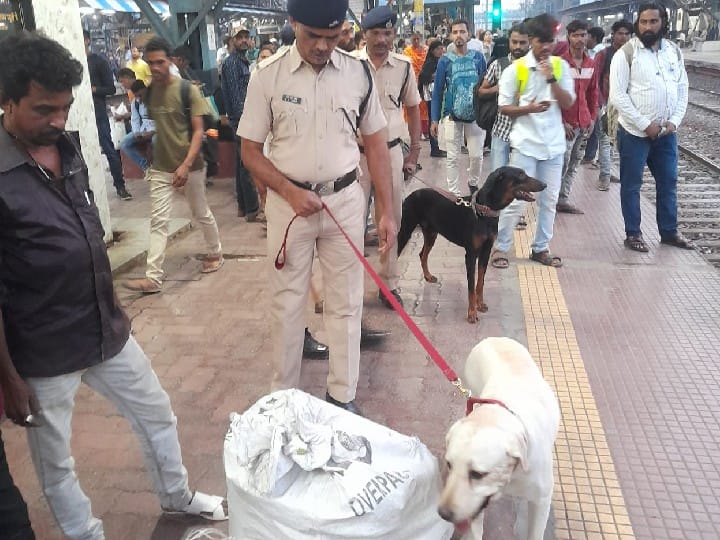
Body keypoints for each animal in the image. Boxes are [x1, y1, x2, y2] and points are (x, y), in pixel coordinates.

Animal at [396, 167, 544, 322]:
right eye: (520, 175)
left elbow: (480, 282)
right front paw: (472, 313)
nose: (544, 185)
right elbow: (471, 286)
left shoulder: (485, 251)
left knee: (422, 254)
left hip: (431, 233)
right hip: (405, 231)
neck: (483, 212)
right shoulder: (471, 254)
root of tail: (411, 195)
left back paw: (428, 276)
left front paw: (480, 304)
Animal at [438, 336, 564, 536]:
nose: (443, 513)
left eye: (478, 474)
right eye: (449, 464)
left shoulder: (542, 500)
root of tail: (494, 338)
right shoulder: (477, 507)